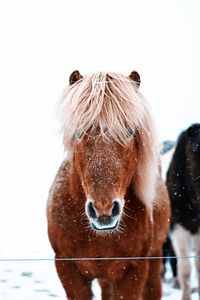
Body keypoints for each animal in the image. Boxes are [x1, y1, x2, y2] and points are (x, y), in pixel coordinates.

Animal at [47, 71, 170, 300]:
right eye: (78, 132)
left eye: (129, 131)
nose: (103, 210)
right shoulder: (68, 270)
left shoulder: (133, 272)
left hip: (154, 260)